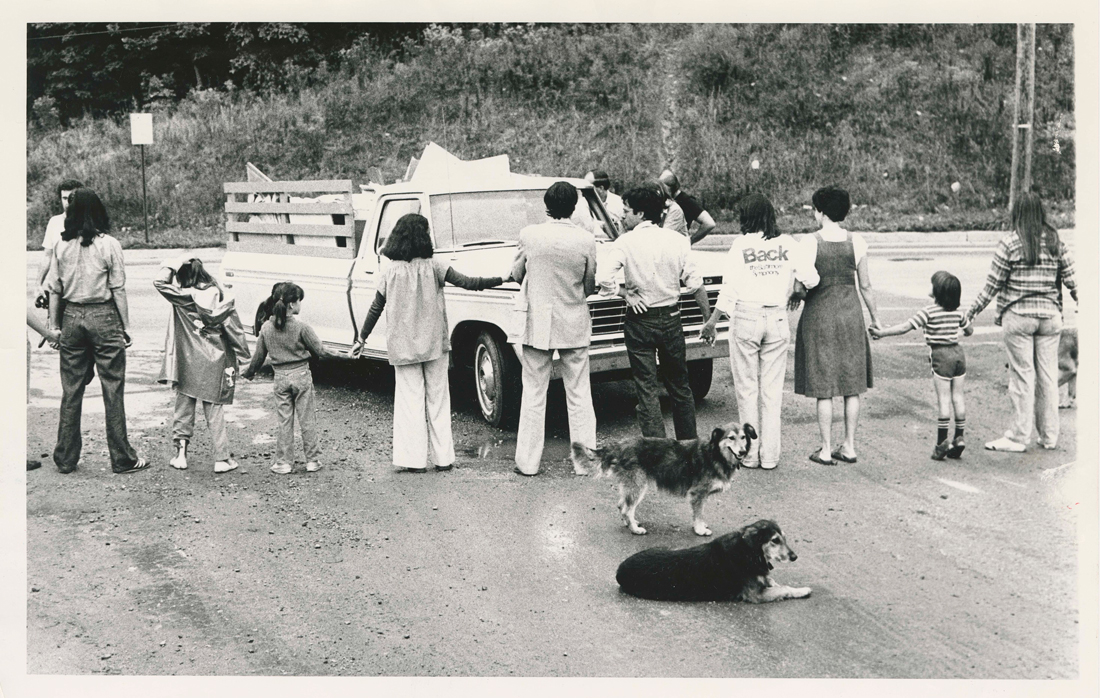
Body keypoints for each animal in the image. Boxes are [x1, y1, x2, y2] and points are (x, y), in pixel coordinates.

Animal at [616, 521, 814, 602]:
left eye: (784, 539)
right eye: (775, 540)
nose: (794, 557)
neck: (748, 551)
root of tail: (619, 570)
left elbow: (773, 581)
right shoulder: (755, 596)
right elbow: (783, 589)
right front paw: (803, 590)